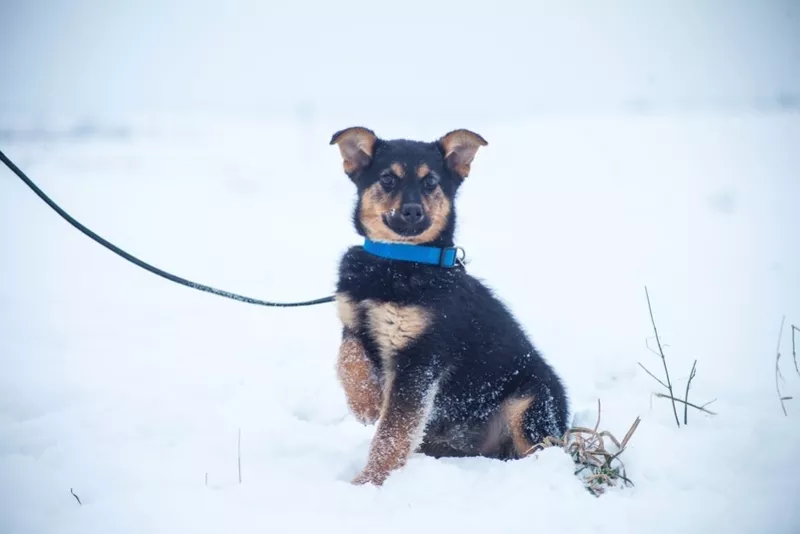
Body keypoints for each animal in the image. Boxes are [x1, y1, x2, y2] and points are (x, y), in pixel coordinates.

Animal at [332, 127, 568, 488]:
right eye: (387, 179)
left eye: (431, 182)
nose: (412, 211)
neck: (396, 264)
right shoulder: (352, 323)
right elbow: (347, 359)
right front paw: (366, 404)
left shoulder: (421, 357)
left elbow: (392, 433)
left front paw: (368, 482)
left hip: (531, 403)